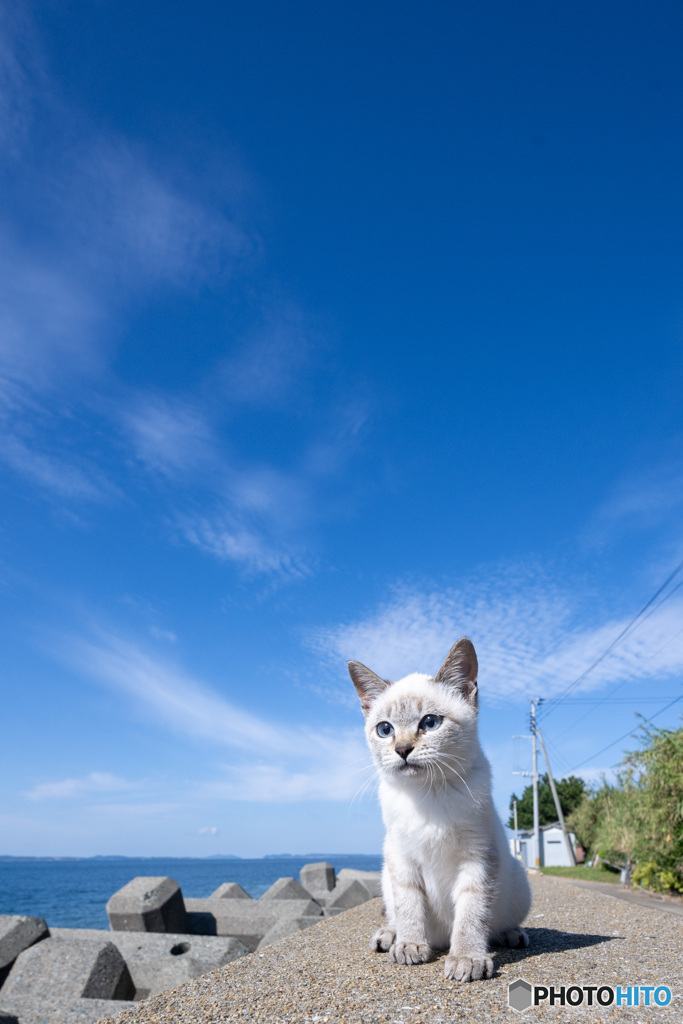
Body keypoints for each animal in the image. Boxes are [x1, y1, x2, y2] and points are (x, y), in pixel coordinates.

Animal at [350, 634, 532, 978]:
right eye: (385, 729)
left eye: (430, 723)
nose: (402, 749)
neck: (428, 793)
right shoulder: (402, 858)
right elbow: (409, 907)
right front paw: (410, 945)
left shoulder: (477, 857)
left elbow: (471, 914)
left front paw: (467, 959)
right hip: (385, 872)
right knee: (394, 913)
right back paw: (389, 936)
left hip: (519, 882)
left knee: (499, 923)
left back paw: (511, 934)